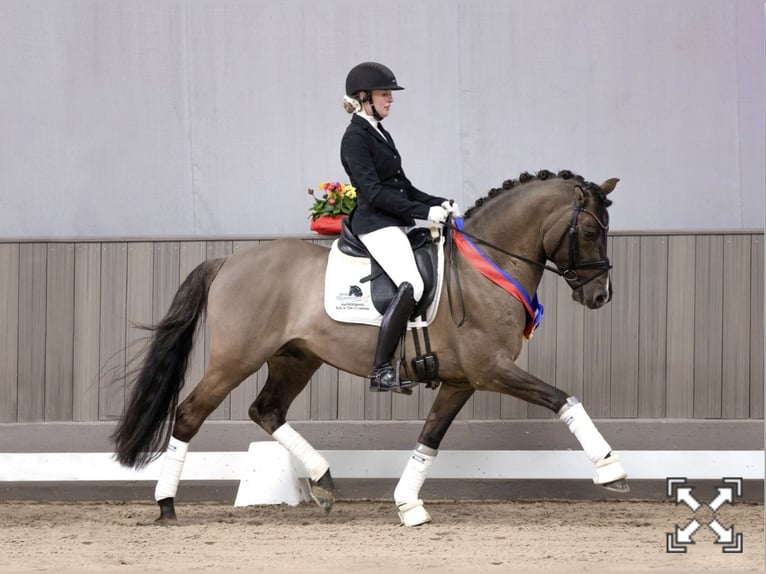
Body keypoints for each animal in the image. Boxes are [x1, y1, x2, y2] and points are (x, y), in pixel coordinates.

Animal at [115, 169, 632, 528]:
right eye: (591, 231)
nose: (600, 296)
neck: (488, 264)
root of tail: (228, 260)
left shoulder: (462, 380)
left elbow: (429, 439)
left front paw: (409, 505)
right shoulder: (491, 369)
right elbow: (563, 399)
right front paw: (611, 470)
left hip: (296, 358)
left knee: (266, 410)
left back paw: (323, 482)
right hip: (234, 359)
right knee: (189, 414)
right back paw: (166, 505)